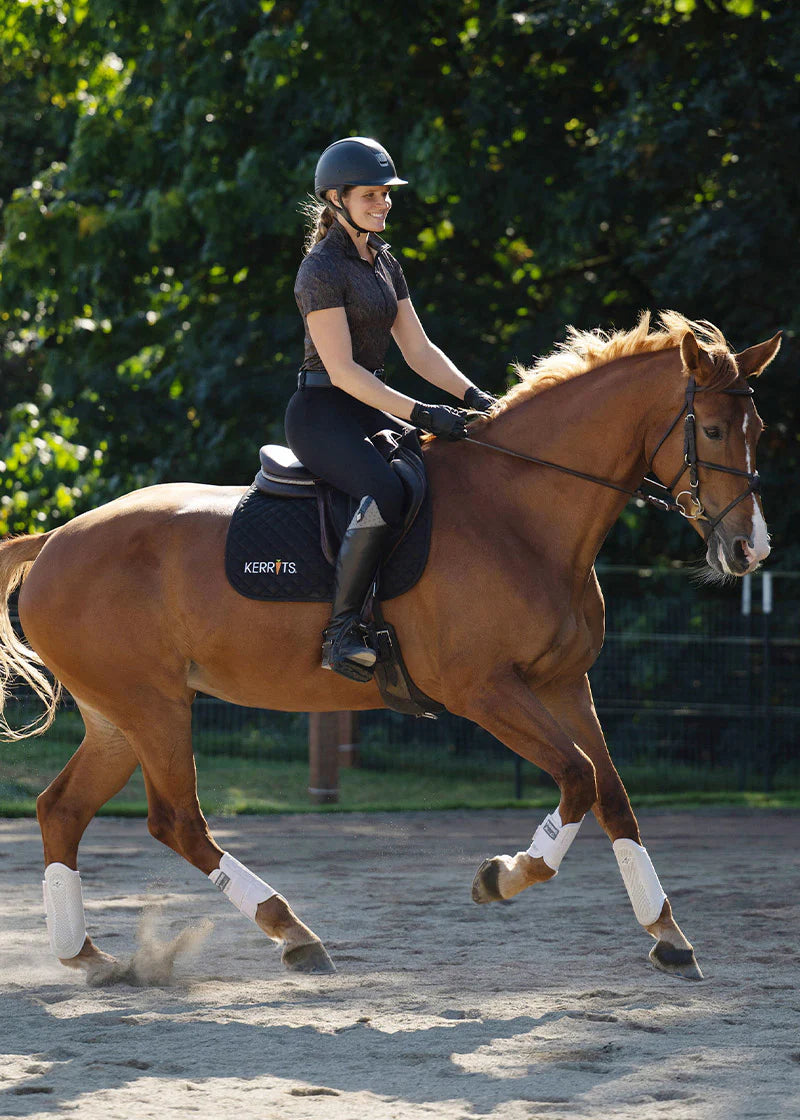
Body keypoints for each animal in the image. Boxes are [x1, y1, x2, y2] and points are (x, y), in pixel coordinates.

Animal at [0, 311, 780, 985]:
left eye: (759, 430)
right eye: (712, 430)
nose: (751, 549)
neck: (520, 513)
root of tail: (55, 539)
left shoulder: (565, 685)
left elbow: (613, 796)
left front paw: (669, 936)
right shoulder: (485, 691)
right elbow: (578, 779)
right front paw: (502, 878)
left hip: (119, 718)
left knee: (61, 811)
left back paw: (88, 956)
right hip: (154, 709)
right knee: (178, 822)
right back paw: (292, 934)